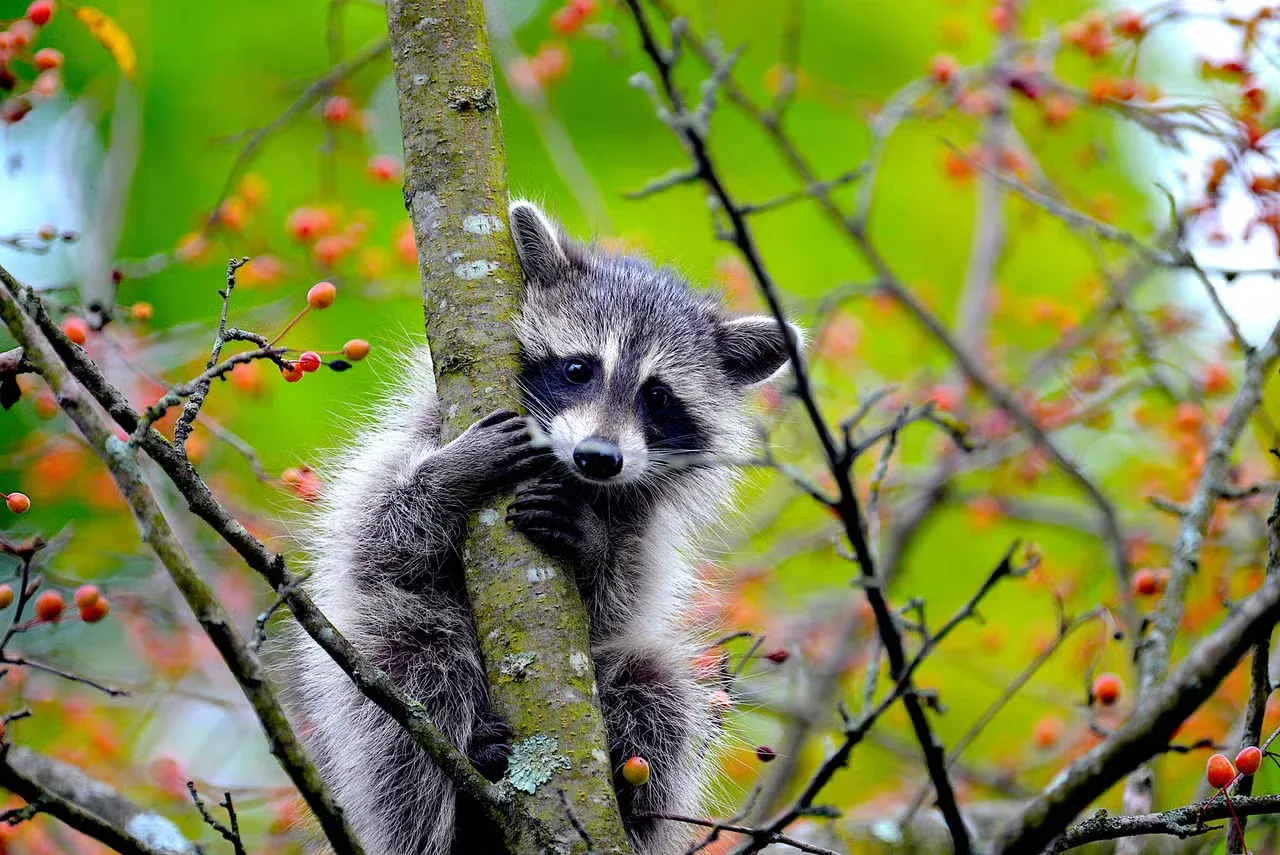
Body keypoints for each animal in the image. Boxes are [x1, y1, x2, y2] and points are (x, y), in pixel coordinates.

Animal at [284, 201, 798, 855]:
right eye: (579, 368)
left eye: (658, 396)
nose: (599, 457)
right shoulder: (400, 451)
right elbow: (381, 544)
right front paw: (446, 478)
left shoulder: (645, 526)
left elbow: (616, 605)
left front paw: (592, 542)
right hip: (367, 690)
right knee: (412, 671)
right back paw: (459, 771)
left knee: (656, 688)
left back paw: (629, 790)